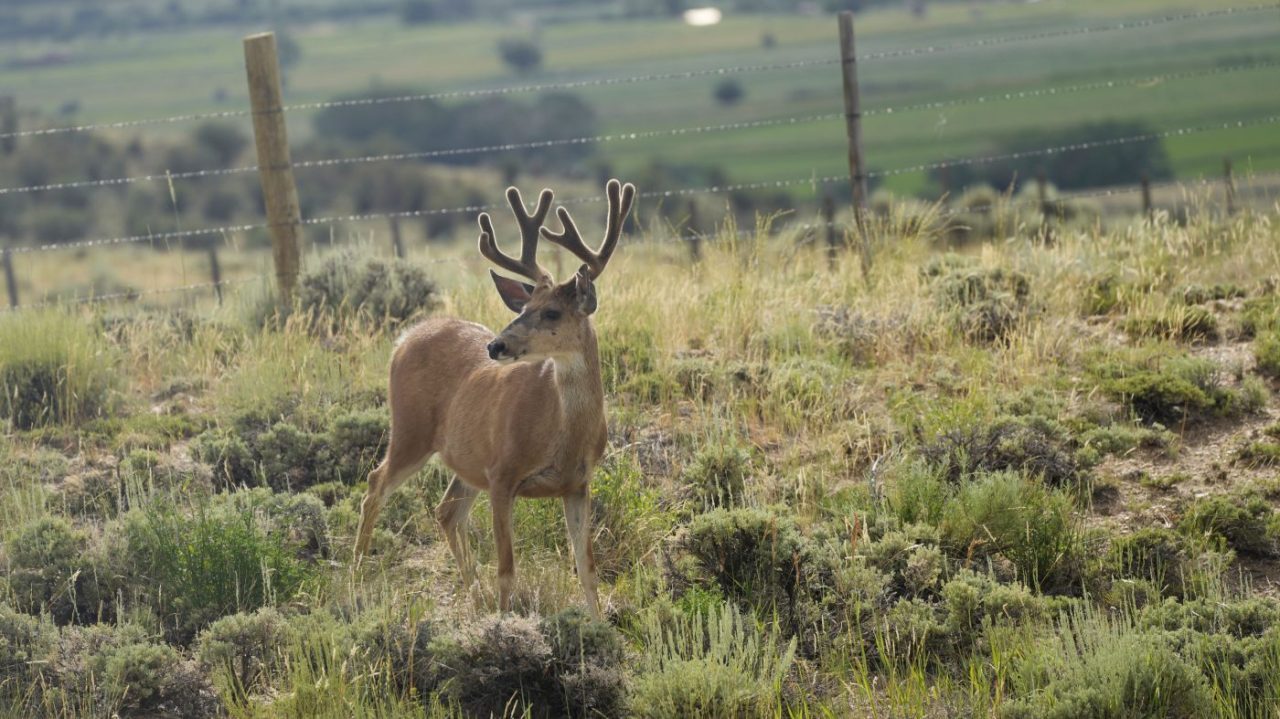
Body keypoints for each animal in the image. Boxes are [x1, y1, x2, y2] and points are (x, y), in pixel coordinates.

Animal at [353, 177, 637, 616]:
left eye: (552, 312)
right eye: (524, 307)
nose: (495, 345)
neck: (563, 435)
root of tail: (403, 339)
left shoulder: (578, 483)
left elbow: (586, 567)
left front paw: (598, 622)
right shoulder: (503, 473)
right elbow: (507, 567)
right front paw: (504, 622)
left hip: (466, 458)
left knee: (446, 510)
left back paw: (474, 593)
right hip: (411, 431)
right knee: (375, 485)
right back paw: (354, 580)